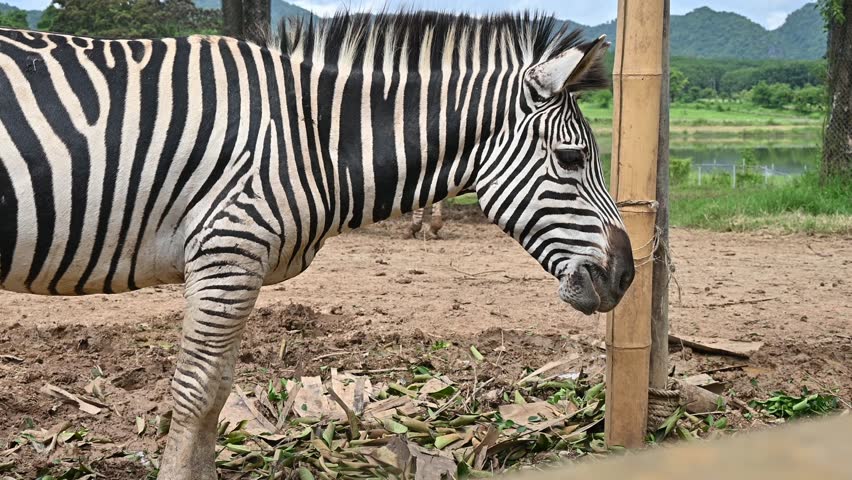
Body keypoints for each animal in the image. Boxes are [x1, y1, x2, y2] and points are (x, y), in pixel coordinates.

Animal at [0, 11, 634, 479]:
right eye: (571, 158)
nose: (627, 276)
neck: (312, 135)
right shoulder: (227, 251)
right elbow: (196, 392)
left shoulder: (238, 265)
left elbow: (219, 391)